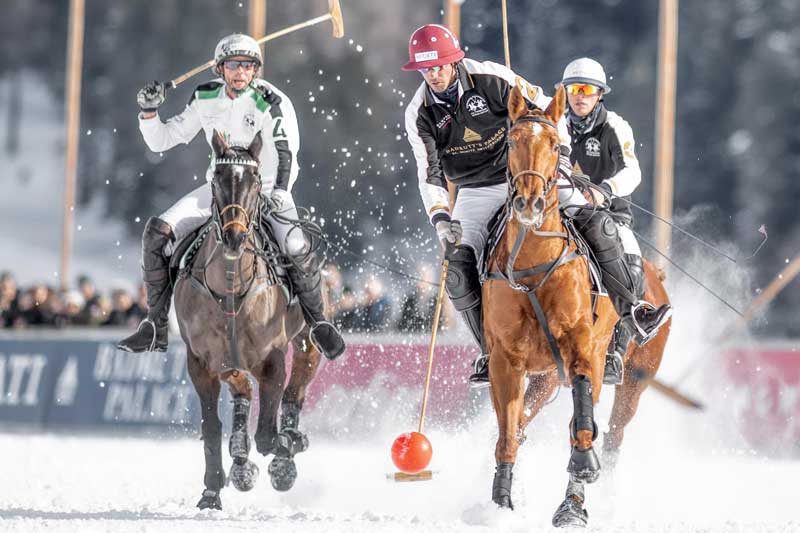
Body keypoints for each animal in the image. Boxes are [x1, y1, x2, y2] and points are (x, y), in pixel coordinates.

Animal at [484, 85, 672, 524]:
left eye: (557, 145)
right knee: (526, 423)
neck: (532, 264)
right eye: (512, 142)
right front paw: (501, 500)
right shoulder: (506, 359)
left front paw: (578, 485)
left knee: (613, 434)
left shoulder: (583, 348)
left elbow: (582, 424)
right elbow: (508, 432)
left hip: (635, 377)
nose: (530, 203)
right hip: (546, 377)